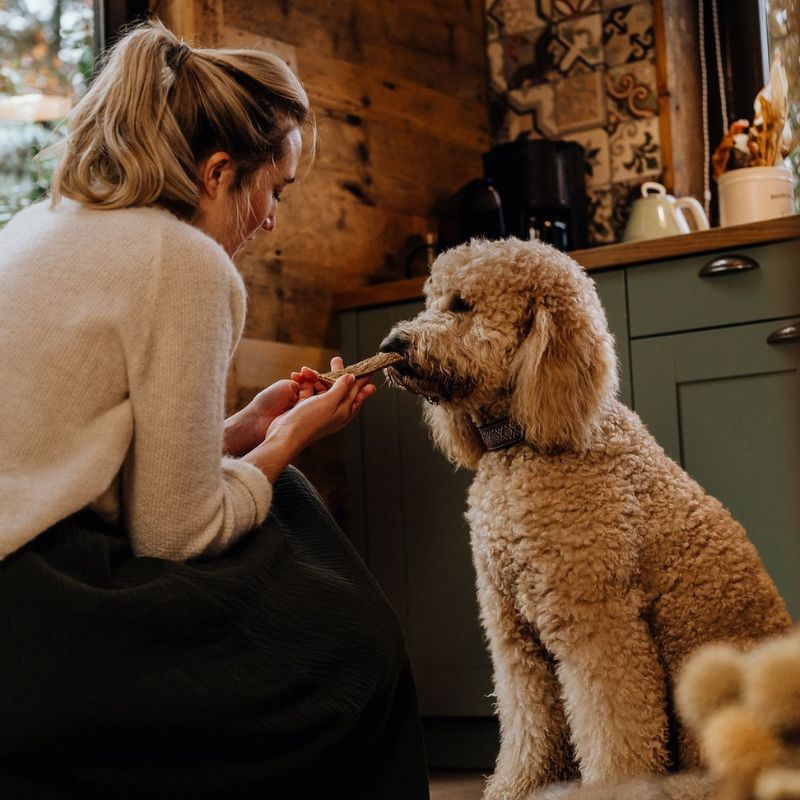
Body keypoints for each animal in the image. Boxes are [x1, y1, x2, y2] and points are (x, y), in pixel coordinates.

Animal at [382, 238, 792, 800]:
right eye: (430, 300)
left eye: (461, 306)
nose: (392, 341)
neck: (523, 444)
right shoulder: (512, 636)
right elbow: (527, 724)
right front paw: (515, 787)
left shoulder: (599, 625)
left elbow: (614, 725)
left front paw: (613, 787)